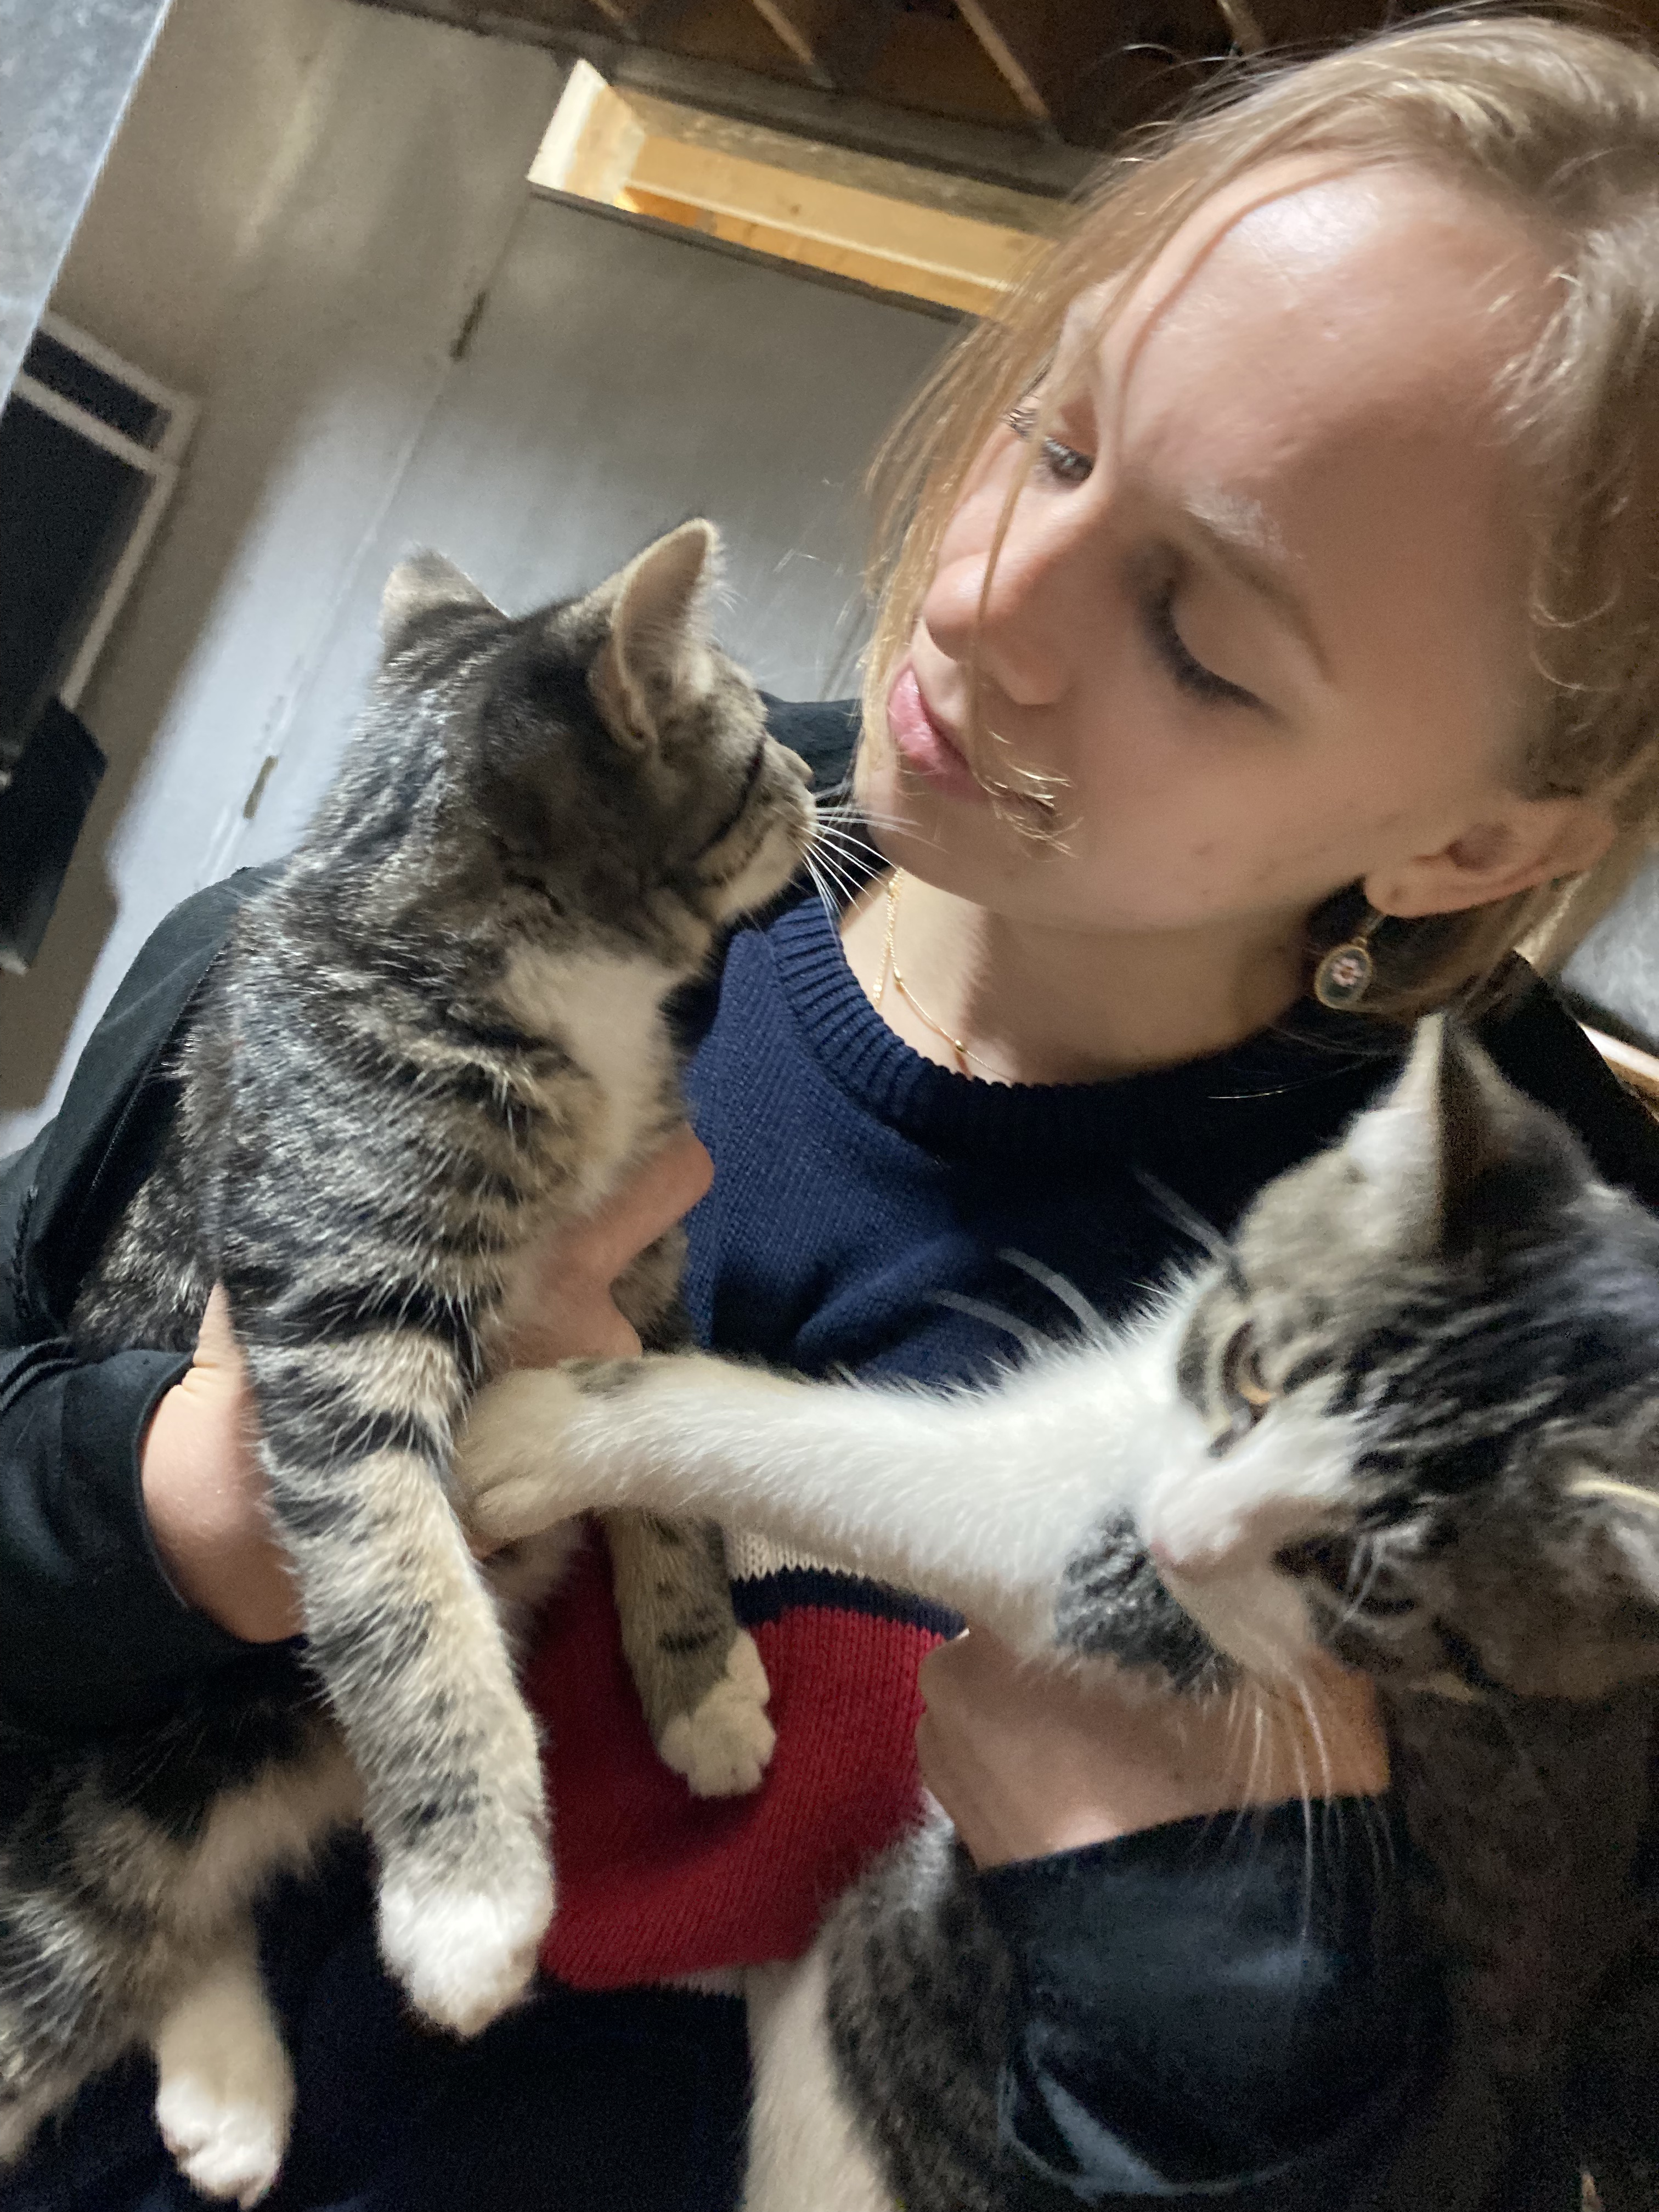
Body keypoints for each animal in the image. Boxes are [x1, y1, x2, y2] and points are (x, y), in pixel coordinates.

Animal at [0, 520, 815, 2206]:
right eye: (757, 740)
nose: (816, 783)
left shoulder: (646, 1277)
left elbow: (659, 1469)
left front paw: (700, 1684)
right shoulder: (339, 1330)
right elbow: (405, 1597)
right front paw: (472, 1907)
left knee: (171, 1917)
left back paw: (231, 2096)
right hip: (131, 1791)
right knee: (79, 1935)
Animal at [457, 1014, 1659, 2212]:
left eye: (1367, 1579)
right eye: (1253, 1372)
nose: (1176, 1532)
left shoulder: (1145, 1606)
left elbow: (862, 1465)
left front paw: (546, 1430)